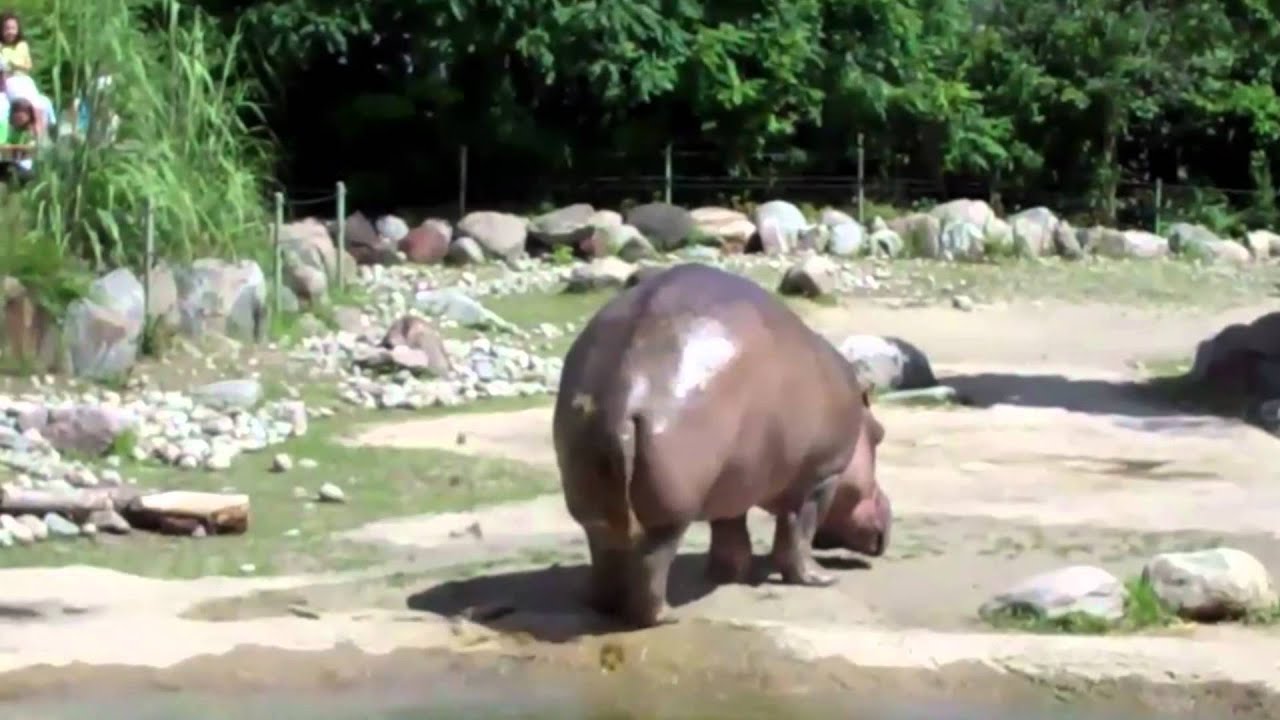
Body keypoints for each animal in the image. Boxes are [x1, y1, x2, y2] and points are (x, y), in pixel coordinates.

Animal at [552, 262, 891, 628]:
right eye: (880, 434)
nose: (887, 510)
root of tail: (623, 390)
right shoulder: (821, 478)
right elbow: (798, 534)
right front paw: (821, 579)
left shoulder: (734, 480)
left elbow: (730, 530)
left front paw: (729, 574)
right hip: (670, 512)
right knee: (652, 561)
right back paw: (667, 616)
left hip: (594, 502)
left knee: (605, 549)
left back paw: (603, 605)